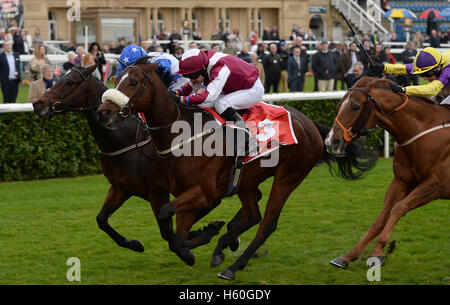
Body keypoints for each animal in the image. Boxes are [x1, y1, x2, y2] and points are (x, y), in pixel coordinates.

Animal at [31, 64, 236, 254]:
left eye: (70, 82)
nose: (38, 103)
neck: (124, 139)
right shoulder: (121, 187)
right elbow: (101, 219)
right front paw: (134, 244)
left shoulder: (157, 191)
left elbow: (167, 231)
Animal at [97, 58, 376, 280]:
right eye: (115, 79)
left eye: (133, 82)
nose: (104, 111)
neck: (183, 134)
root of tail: (310, 124)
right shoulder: (186, 193)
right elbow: (177, 230)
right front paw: (203, 237)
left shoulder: (204, 192)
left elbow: (168, 218)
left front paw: (191, 250)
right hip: (246, 180)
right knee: (252, 215)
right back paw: (223, 247)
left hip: (288, 176)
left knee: (267, 223)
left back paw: (233, 266)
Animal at [326, 76, 448, 268]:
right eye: (338, 105)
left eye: (355, 107)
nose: (331, 142)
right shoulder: (401, 182)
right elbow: (381, 218)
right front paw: (349, 255)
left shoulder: (438, 184)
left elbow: (399, 208)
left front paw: (378, 252)